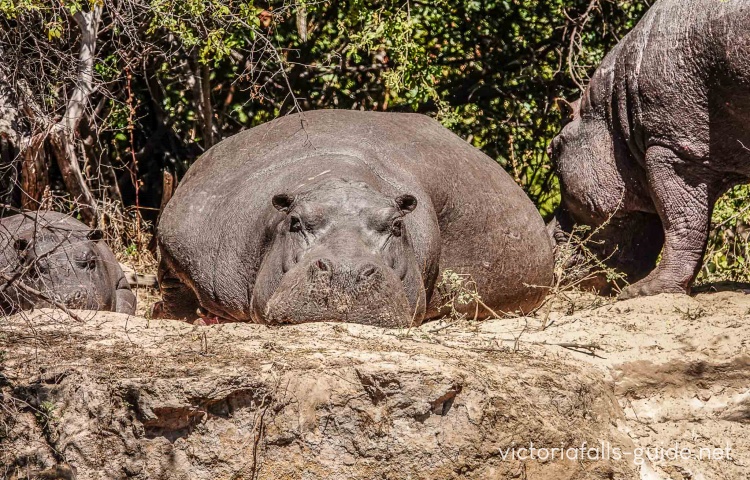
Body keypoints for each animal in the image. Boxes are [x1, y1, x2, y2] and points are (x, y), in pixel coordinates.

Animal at [548, 0, 750, 298]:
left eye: (552, 150)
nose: (545, 231)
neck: (615, 114)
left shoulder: (672, 151)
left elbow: (682, 222)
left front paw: (643, 291)